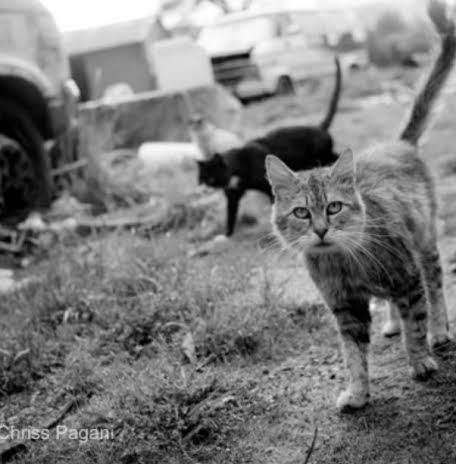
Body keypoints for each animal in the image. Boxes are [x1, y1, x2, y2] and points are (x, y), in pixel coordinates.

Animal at [198, 56, 340, 237]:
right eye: (201, 179)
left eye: (210, 178)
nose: (203, 189)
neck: (235, 169)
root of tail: (319, 127)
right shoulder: (233, 195)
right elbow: (231, 214)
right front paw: (227, 235)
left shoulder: (267, 187)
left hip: (321, 156)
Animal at [266, 0, 454, 414]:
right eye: (302, 213)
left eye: (334, 208)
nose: (321, 230)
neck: (343, 263)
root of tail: (398, 144)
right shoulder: (344, 306)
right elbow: (353, 354)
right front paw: (357, 392)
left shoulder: (407, 275)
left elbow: (416, 322)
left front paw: (421, 360)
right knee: (394, 305)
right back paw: (392, 323)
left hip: (425, 243)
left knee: (435, 288)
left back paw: (440, 331)